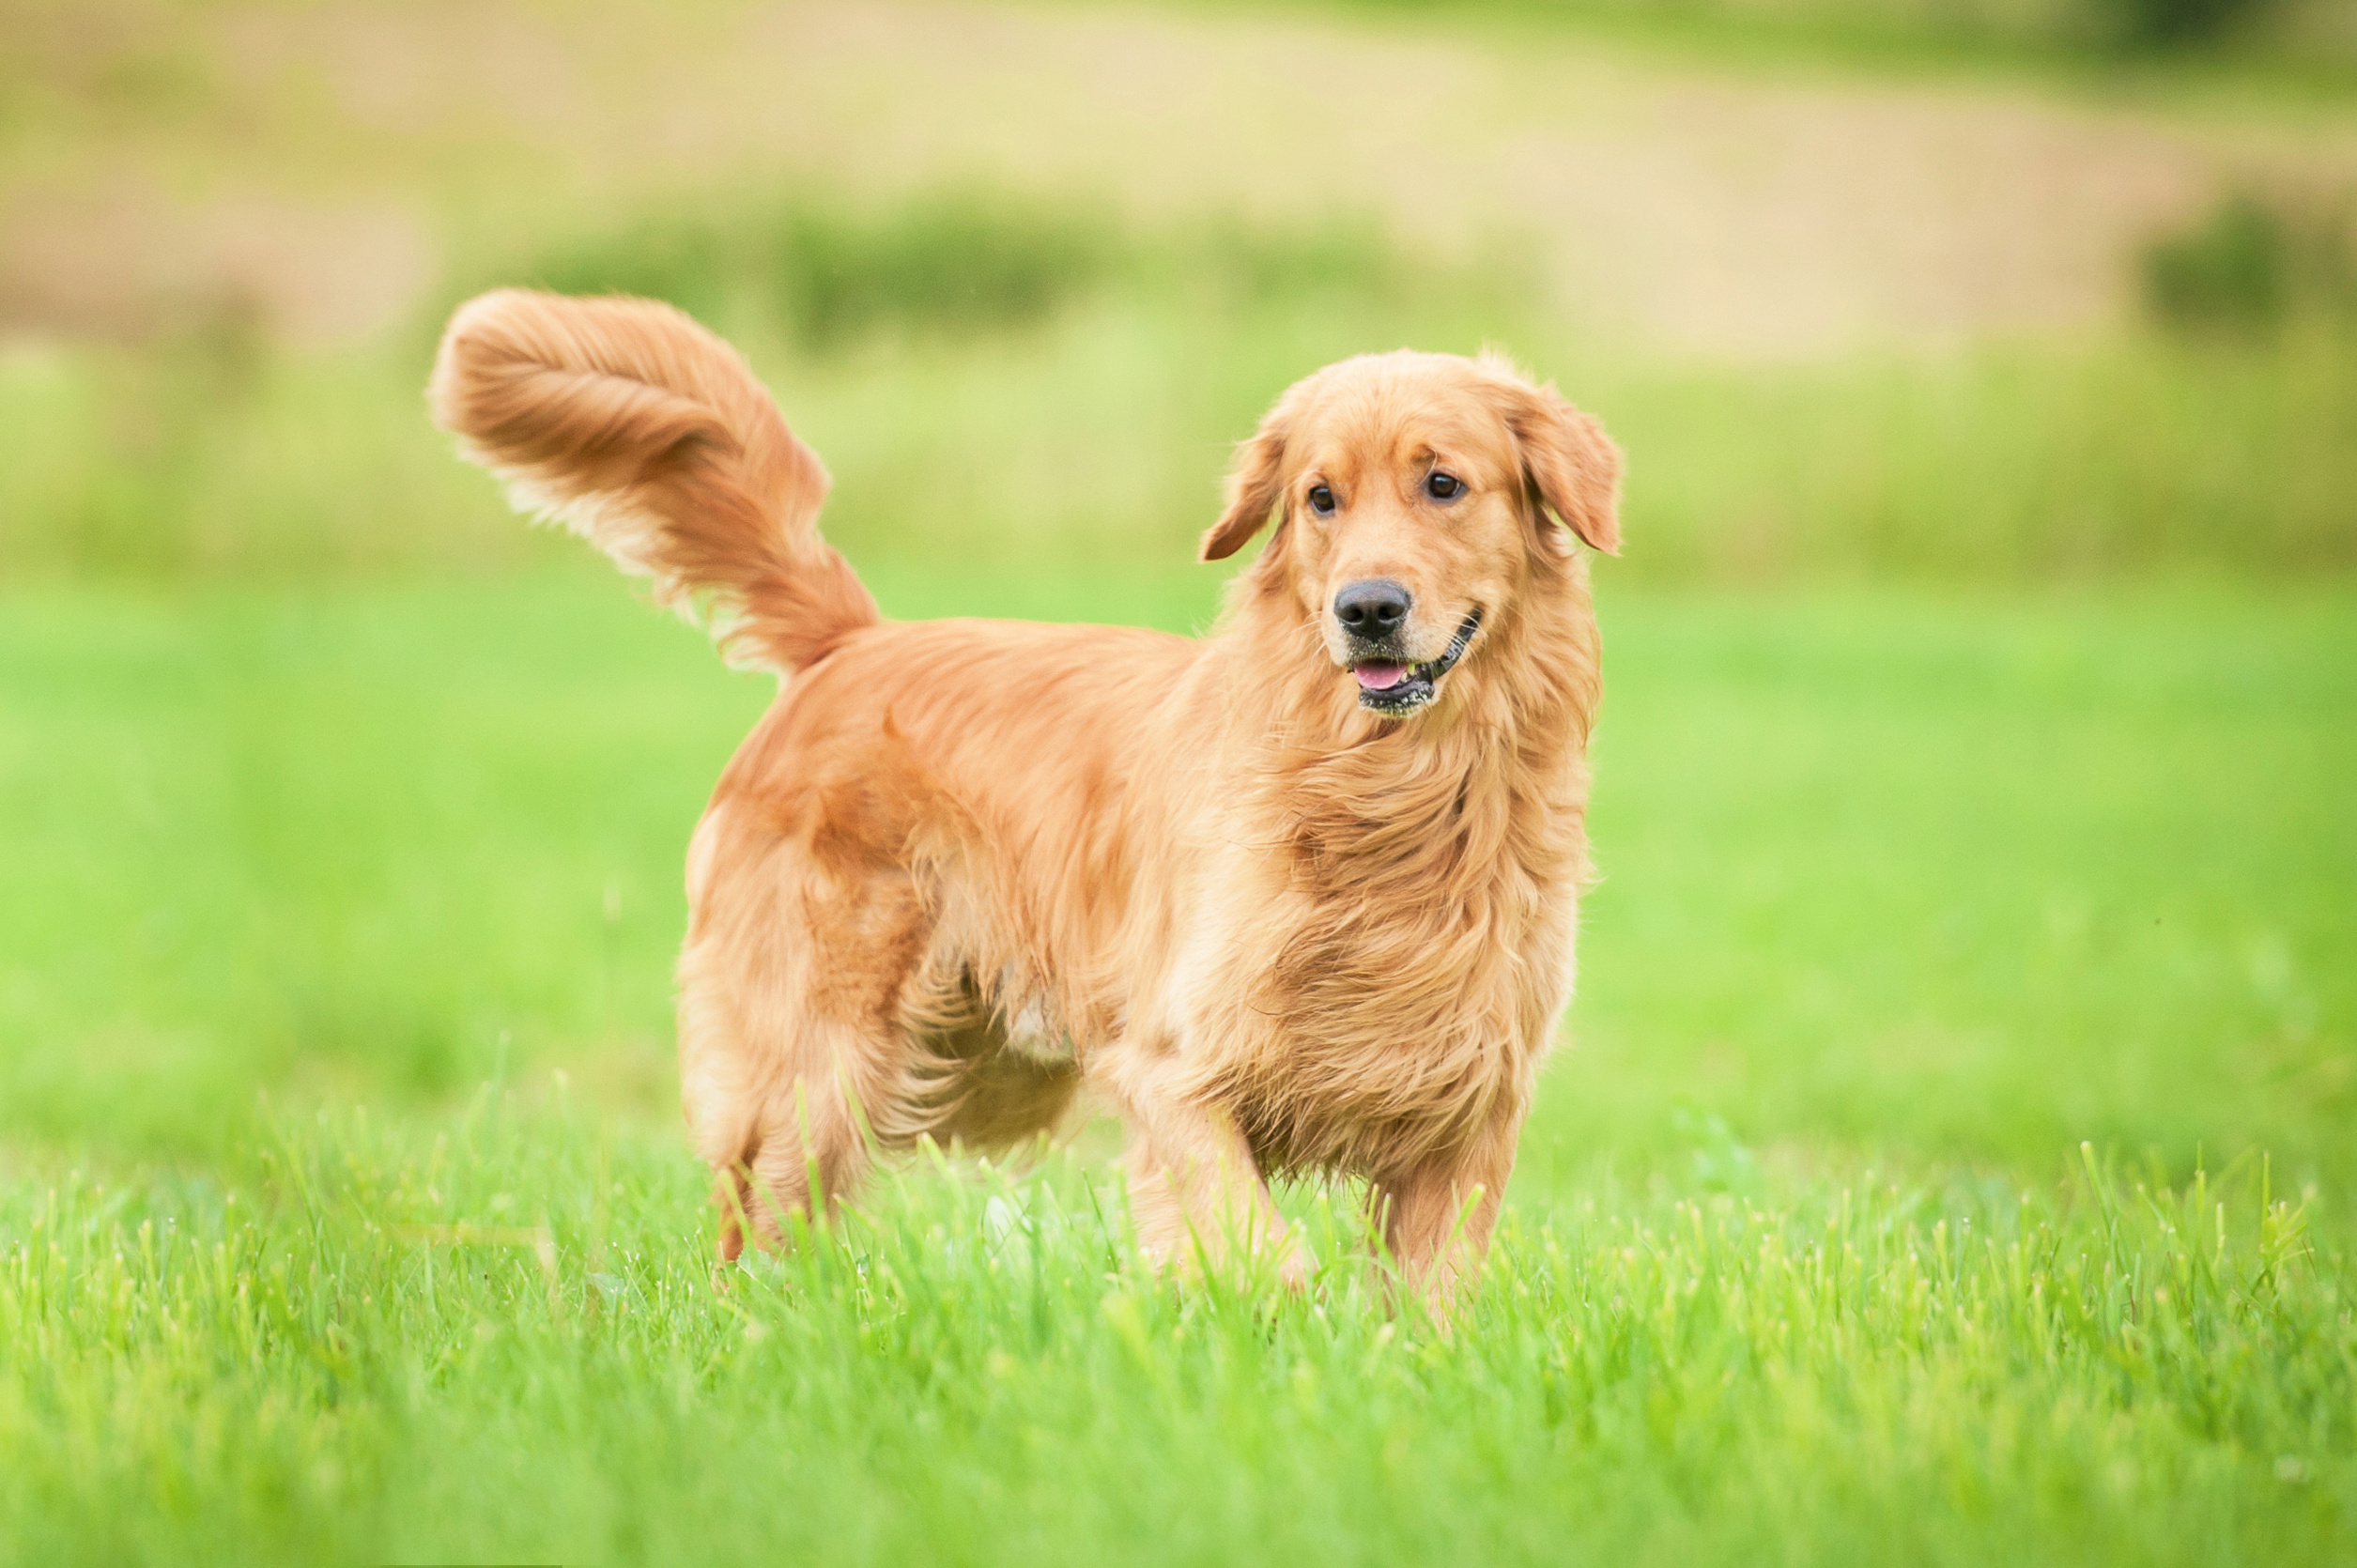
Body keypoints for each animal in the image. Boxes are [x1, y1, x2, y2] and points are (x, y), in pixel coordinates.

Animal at [428, 284, 1621, 1311]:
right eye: (1318, 498)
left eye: (1442, 483)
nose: (1365, 608)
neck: (1389, 793)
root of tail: (850, 643)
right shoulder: (1169, 1067)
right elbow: (1257, 1247)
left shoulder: (1471, 1105)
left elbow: (1426, 1297)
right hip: (818, 1066)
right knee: (753, 1228)